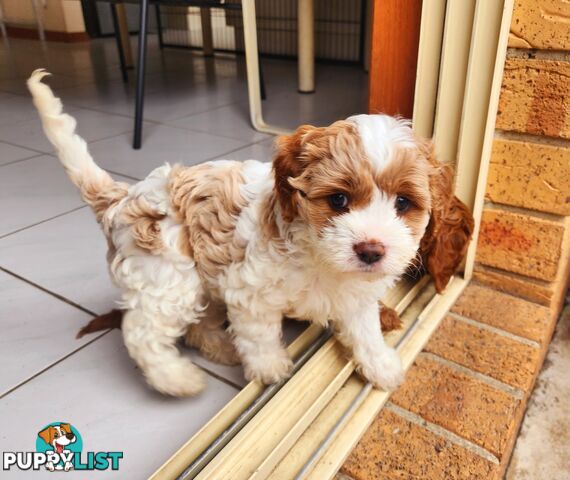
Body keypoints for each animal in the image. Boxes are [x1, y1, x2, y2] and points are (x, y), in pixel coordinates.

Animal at [28, 68, 468, 398]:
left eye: (403, 204)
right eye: (339, 200)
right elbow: (260, 336)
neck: (322, 260)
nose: (371, 250)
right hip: (168, 277)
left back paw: (222, 348)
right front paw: (270, 368)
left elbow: (366, 331)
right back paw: (178, 379)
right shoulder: (250, 290)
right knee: (142, 331)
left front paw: (380, 365)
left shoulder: (356, 298)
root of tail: (122, 197)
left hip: (202, 282)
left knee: (198, 325)